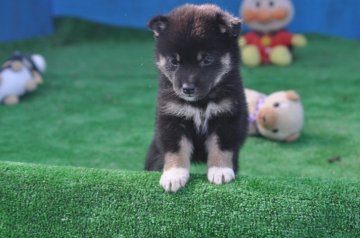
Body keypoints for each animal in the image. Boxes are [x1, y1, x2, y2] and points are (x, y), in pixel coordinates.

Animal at [143, 4, 248, 192]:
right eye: (174, 61)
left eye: (206, 59)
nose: (187, 89)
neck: (200, 103)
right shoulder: (172, 118)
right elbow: (176, 149)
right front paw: (174, 175)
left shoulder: (226, 117)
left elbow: (221, 147)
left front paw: (220, 170)